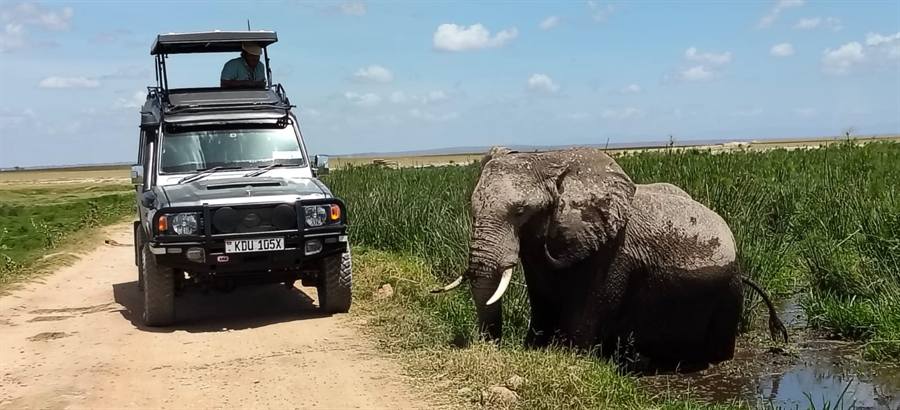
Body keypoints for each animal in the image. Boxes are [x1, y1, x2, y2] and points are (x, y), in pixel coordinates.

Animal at [434, 146, 787, 368]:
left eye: (521, 211)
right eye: (471, 206)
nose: (489, 348)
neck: (549, 158)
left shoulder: (614, 252)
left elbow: (589, 308)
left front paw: (571, 357)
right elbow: (542, 298)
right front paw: (533, 348)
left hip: (728, 290)